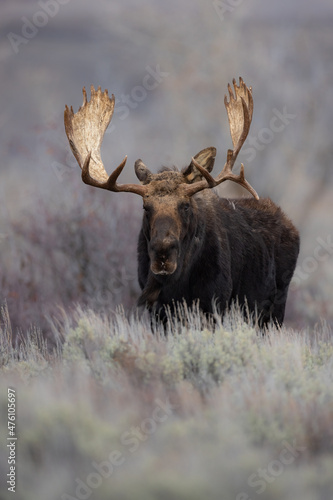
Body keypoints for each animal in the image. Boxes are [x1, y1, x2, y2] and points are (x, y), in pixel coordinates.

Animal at [64, 77, 298, 328]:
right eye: (146, 207)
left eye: (185, 205)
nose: (163, 253)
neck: (179, 283)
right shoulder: (158, 311)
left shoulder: (216, 301)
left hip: (274, 308)